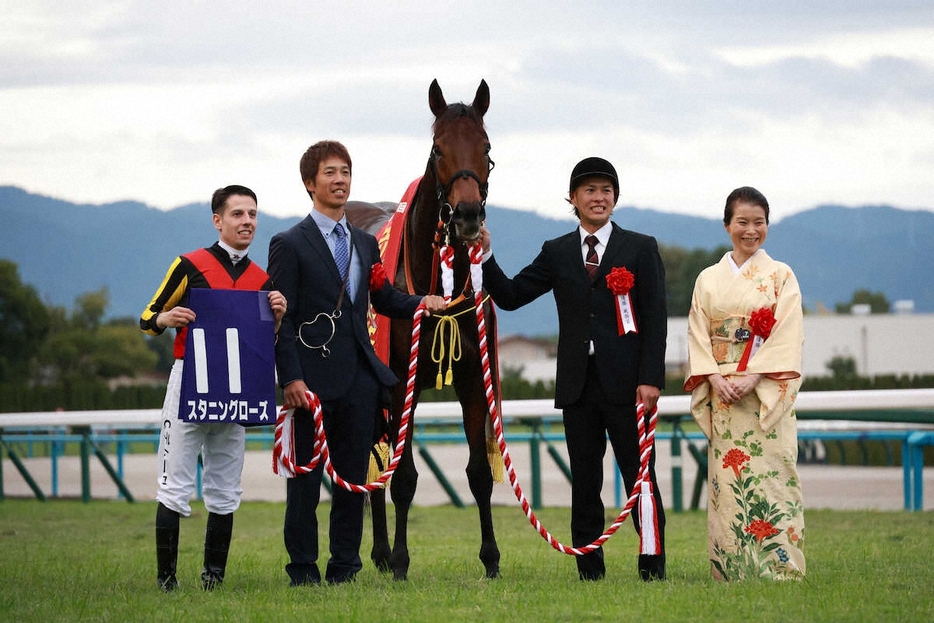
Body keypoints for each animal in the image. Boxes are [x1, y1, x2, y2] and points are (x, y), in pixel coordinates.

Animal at [346, 79, 504, 580]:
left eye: (486, 148)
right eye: (437, 150)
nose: (468, 215)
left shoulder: (474, 377)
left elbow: (478, 473)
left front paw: (491, 558)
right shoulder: (401, 383)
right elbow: (404, 476)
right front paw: (400, 560)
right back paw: (378, 553)